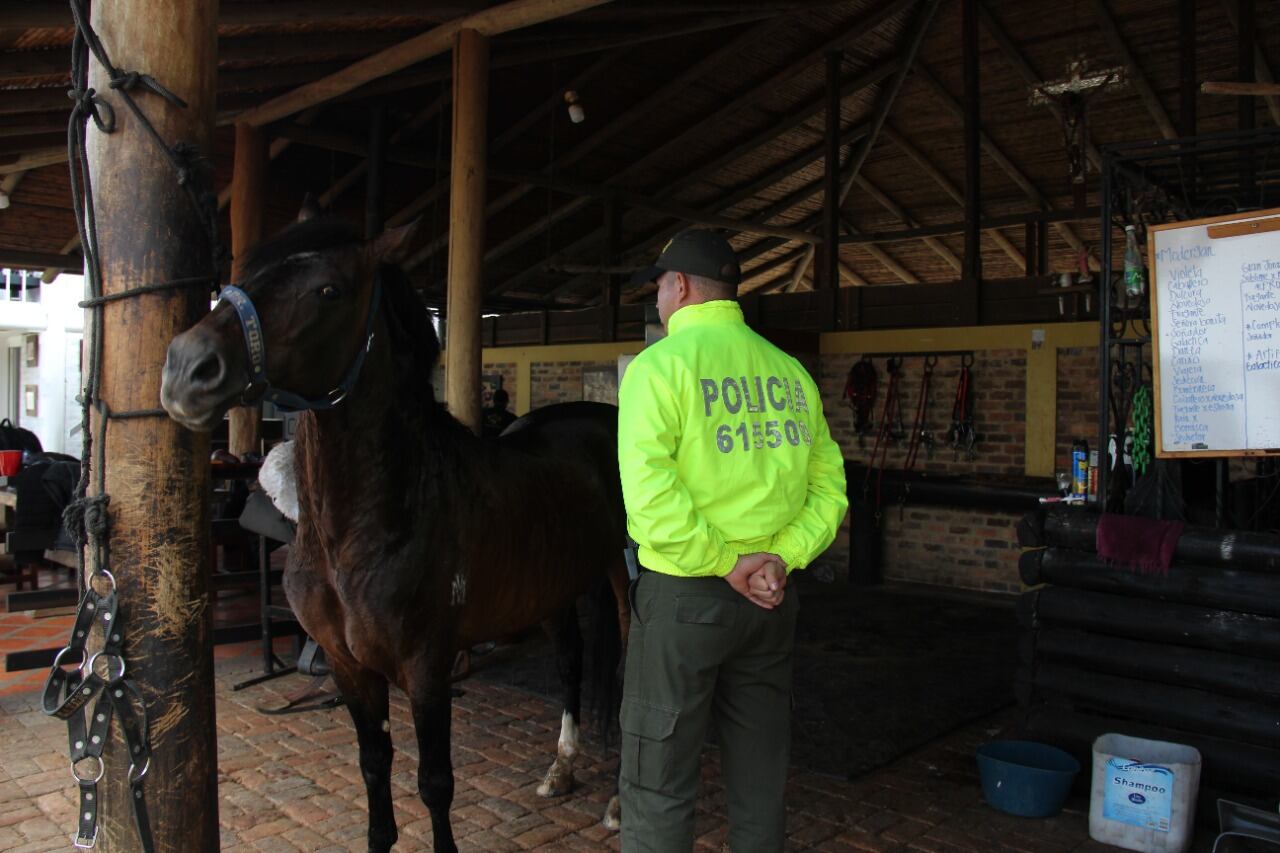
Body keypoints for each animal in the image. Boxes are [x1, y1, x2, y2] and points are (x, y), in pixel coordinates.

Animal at [160, 215, 630, 852]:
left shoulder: (427, 668)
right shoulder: (348, 665)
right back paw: (561, 769)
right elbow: (373, 766)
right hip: (551, 587)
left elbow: (434, 781)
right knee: (571, 663)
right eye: (247, 273)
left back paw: (618, 802)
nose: (187, 368)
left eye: (329, 289)